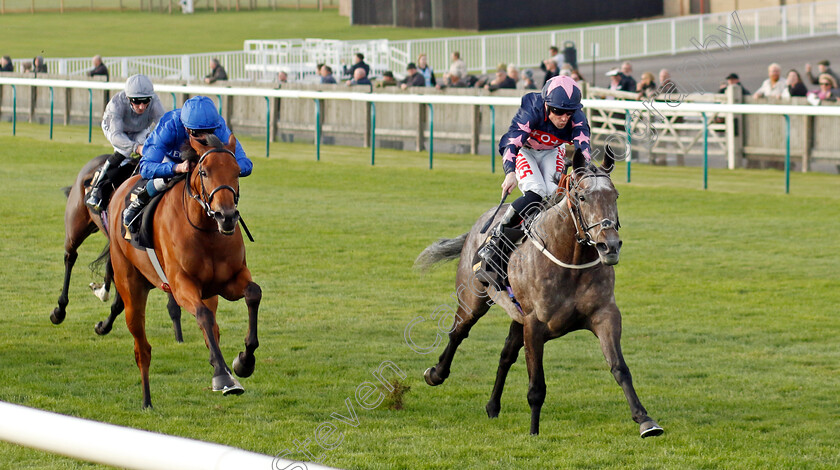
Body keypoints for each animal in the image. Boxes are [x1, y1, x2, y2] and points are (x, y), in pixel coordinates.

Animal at [106, 132, 260, 408]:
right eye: (205, 172)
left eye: (237, 171)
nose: (227, 216)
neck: (206, 230)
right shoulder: (180, 284)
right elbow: (203, 316)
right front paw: (222, 376)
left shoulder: (229, 281)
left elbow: (253, 293)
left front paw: (243, 362)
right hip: (131, 287)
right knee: (142, 348)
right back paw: (147, 401)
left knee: (214, 330)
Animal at [414, 147, 664, 436]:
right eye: (582, 197)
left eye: (615, 195)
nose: (609, 246)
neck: (569, 260)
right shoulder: (534, 324)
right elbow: (536, 386)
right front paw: (534, 431)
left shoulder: (605, 315)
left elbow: (620, 368)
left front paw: (645, 419)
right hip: (472, 300)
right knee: (458, 333)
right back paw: (436, 374)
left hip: (516, 315)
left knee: (506, 355)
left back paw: (492, 406)